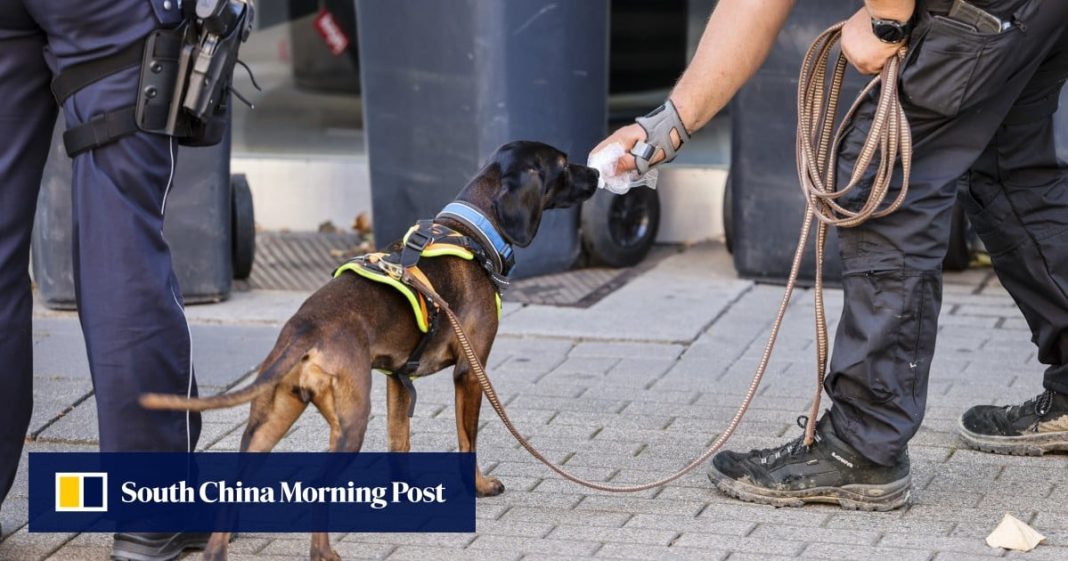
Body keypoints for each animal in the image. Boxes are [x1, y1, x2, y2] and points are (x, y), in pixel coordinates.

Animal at [144, 141, 602, 559]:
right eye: (563, 165)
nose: (597, 173)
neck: (471, 232)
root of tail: (306, 329)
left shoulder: (398, 382)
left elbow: (400, 445)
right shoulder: (471, 374)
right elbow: (467, 443)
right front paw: (479, 487)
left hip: (269, 420)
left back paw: (217, 551)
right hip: (351, 421)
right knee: (318, 488)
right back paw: (323, 553)